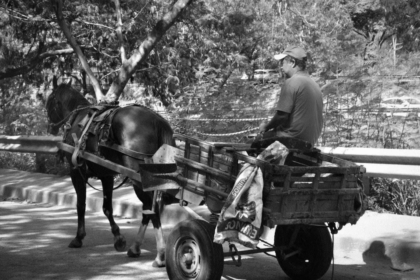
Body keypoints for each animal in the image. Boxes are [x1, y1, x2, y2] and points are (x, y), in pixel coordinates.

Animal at [46, 79, 176, 266]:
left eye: (49, 100)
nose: (50, 127)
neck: (79, 118)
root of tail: (156, 120)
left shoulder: (76, 172)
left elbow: (81, 205)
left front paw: (78, 238)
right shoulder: (106, 175)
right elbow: (107, 208)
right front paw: (118, 238)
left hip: (139, 178)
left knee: (152, 209)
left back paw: (160, 255)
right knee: (148, 208)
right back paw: (135, 247)